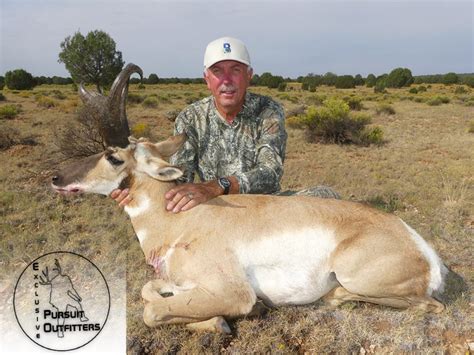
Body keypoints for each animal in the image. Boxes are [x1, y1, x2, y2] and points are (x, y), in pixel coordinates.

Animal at [52, 134, 448, 334]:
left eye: (113, 156)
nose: (56, 177)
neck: (183, 219)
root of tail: (425, 252)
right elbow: (149, 290)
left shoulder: (233, 292)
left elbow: (151, 312)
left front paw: (224, 321)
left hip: (357, 276)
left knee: (429, 306)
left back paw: (334, 297)